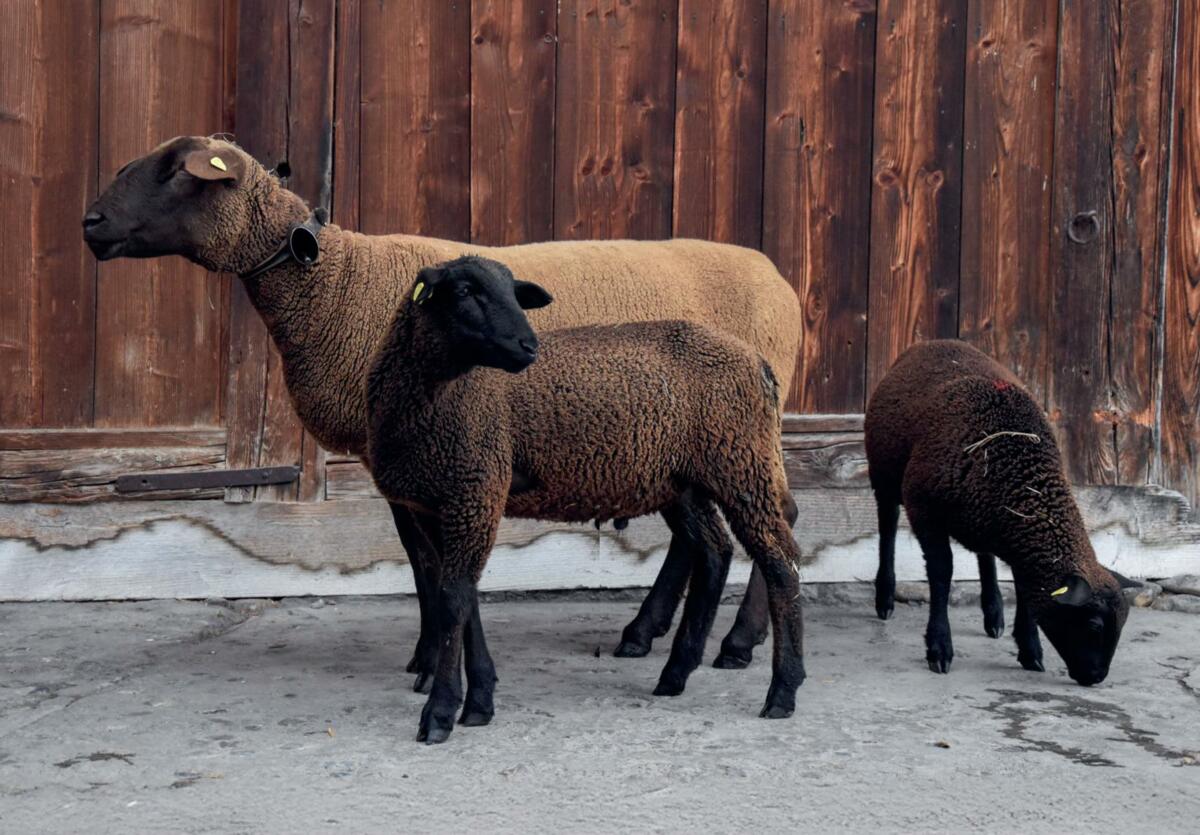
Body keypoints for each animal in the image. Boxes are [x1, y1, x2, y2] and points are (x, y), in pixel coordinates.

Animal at [81, 135, 801, 681]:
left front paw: (430, 661)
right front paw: (433, 654)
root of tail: (781, 282)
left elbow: (427, 563)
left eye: (178, 170)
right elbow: (421, 559)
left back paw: (738, 643)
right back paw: (646, 632)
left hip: (729, 437)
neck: (335, 284)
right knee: (706, 536)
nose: (90, 224)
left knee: (772, 521)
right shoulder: (396, 457)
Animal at [365, 255, 806, 743]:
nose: (529, 346)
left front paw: (441, 712)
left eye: (514, 293)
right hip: (684, 480)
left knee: (780, 560)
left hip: (739, 461)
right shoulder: (436, 505)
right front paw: (479, 698)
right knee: (715, 549)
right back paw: (676, 672)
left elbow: (453, 601)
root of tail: (758, 362)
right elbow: (464, 601)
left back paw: (781, 690)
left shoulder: (475, 491)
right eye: (463, 291)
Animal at [864, 339, 1137, 685]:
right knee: (887, 528)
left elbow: (1024, 586)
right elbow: (941, 573)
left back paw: (993, 614)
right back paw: (885, 598)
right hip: (884, 476)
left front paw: (1030, 650)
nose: (1097, 677)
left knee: (986, 555)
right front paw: (939, 648)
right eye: (1093, 626)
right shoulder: (925, 510)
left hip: (980, 515)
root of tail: (934, 342)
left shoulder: (1013, 530)